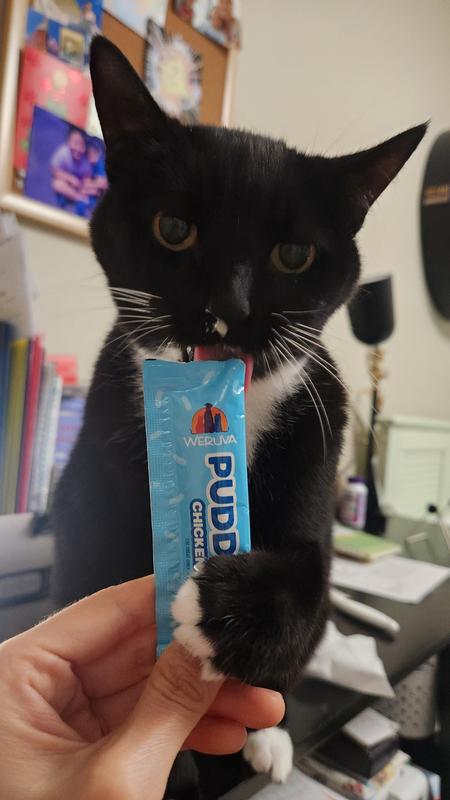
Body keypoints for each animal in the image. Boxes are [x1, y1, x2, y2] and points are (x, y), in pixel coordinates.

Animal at [51, 35, 425, 797]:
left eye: (294, 253)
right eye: (173, 229)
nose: (229, 307)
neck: (239, 407)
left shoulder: (317, 457)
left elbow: (309, 592)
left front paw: (234, 626)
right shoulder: (95, 501)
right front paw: (174, 761)